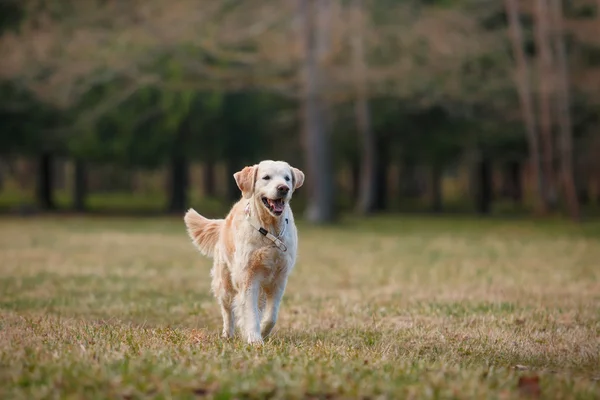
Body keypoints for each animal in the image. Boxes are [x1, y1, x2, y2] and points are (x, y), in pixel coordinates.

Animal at [183, 159, 304, 344]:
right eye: (266, 177)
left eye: (287, 178)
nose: (283, 188)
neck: (269, 229)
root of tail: (223, 221)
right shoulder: (248, 276)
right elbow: (249, 312)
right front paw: (254, 339)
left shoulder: (279, 279)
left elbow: (271, 316)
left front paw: (262, 332)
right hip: (224, 283)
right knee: (227, 312)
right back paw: (227, 334)